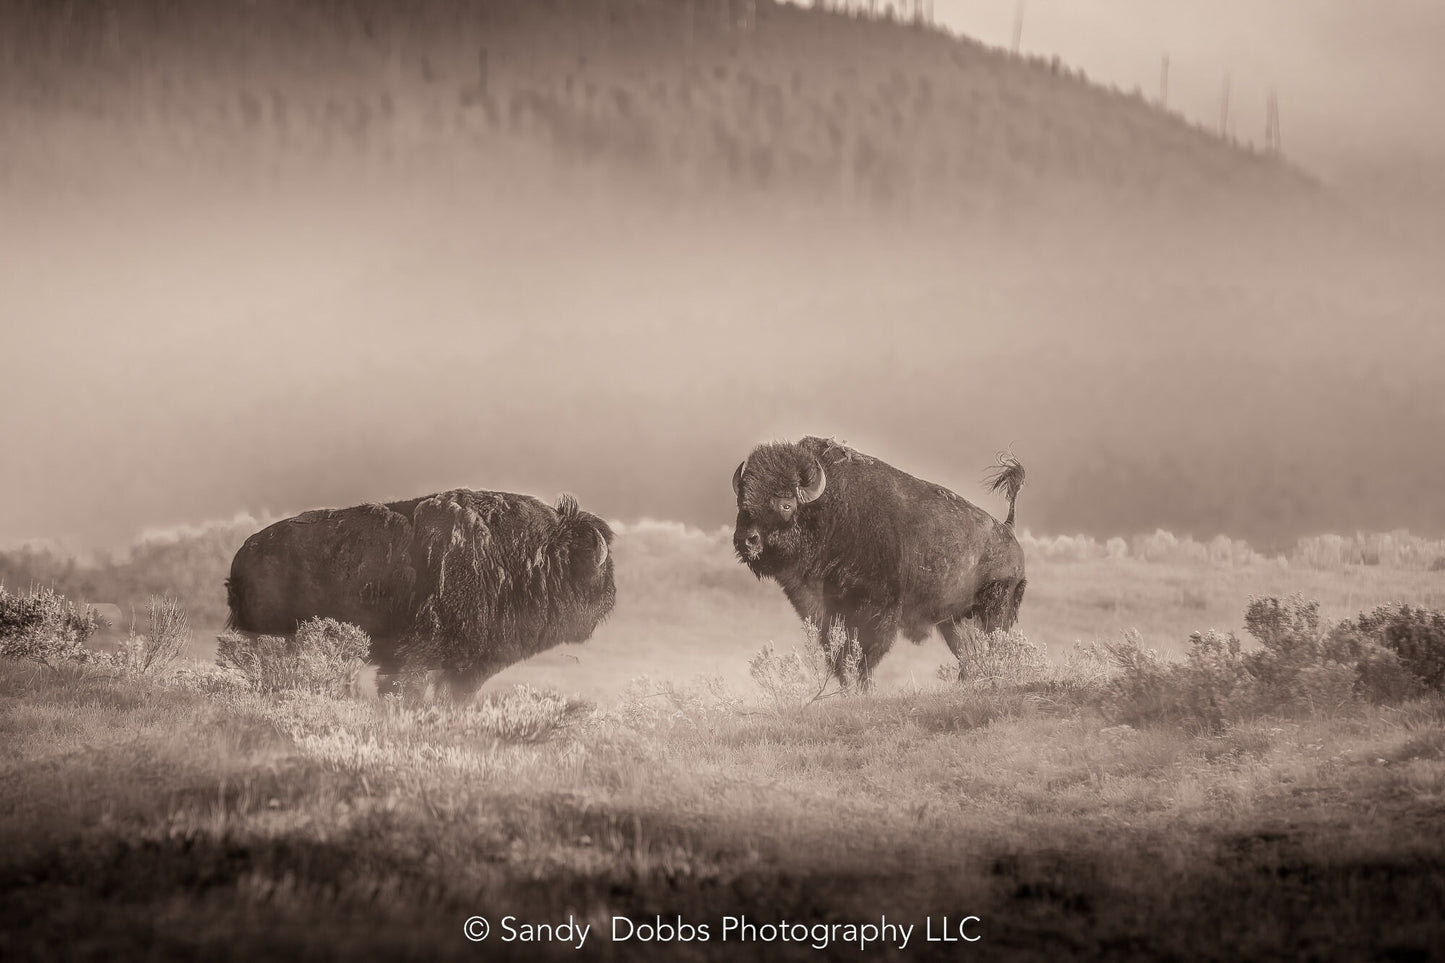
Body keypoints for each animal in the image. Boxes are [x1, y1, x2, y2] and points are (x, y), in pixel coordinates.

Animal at [734, 433, 1028, 682]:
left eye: (786, 504)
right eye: (741, 501)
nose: (745, 539)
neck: (832, 510)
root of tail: (1007, 530)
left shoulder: (877, 610)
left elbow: (864, 654)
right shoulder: (827, 612)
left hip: (996, 611)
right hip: (955, 621)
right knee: (969, 655)